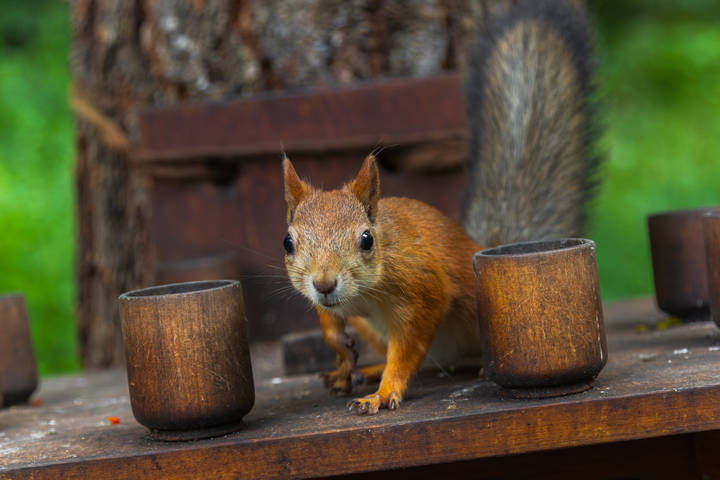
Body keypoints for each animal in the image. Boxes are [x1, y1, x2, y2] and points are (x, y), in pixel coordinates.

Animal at [282, 0, 599, 415]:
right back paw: (364, 369)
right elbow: (328, 318)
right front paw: (339, 346)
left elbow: (408, 347)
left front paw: (385, 391)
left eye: (366, 240)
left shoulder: (423, 289)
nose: (324, 283)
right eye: (288, 243)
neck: (365, 291)